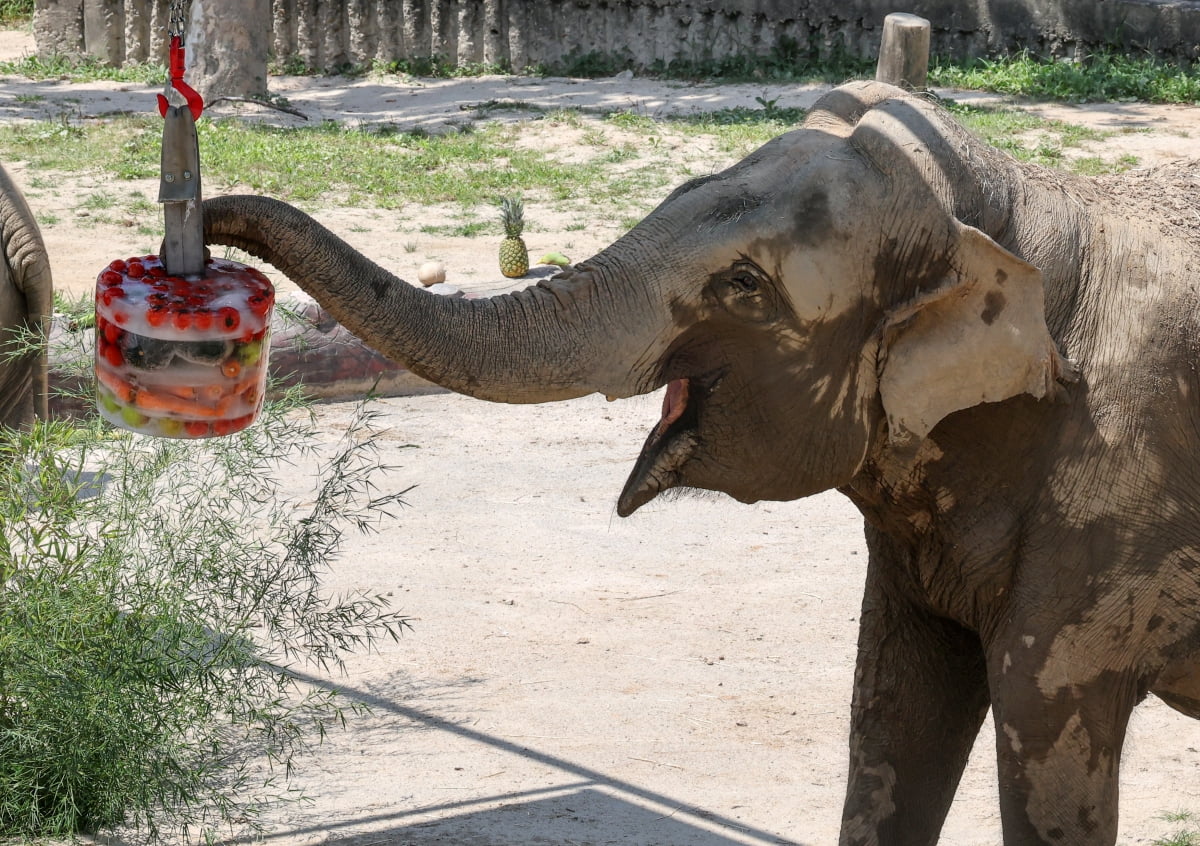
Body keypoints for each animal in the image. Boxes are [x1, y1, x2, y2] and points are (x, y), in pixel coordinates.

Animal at [199, 81, 1200, 844]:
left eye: (744, 285)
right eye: (681, 187)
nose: (204, 215)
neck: (1020, 213)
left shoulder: (1112, 505)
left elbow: (1041, 727)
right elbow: (897, 708)